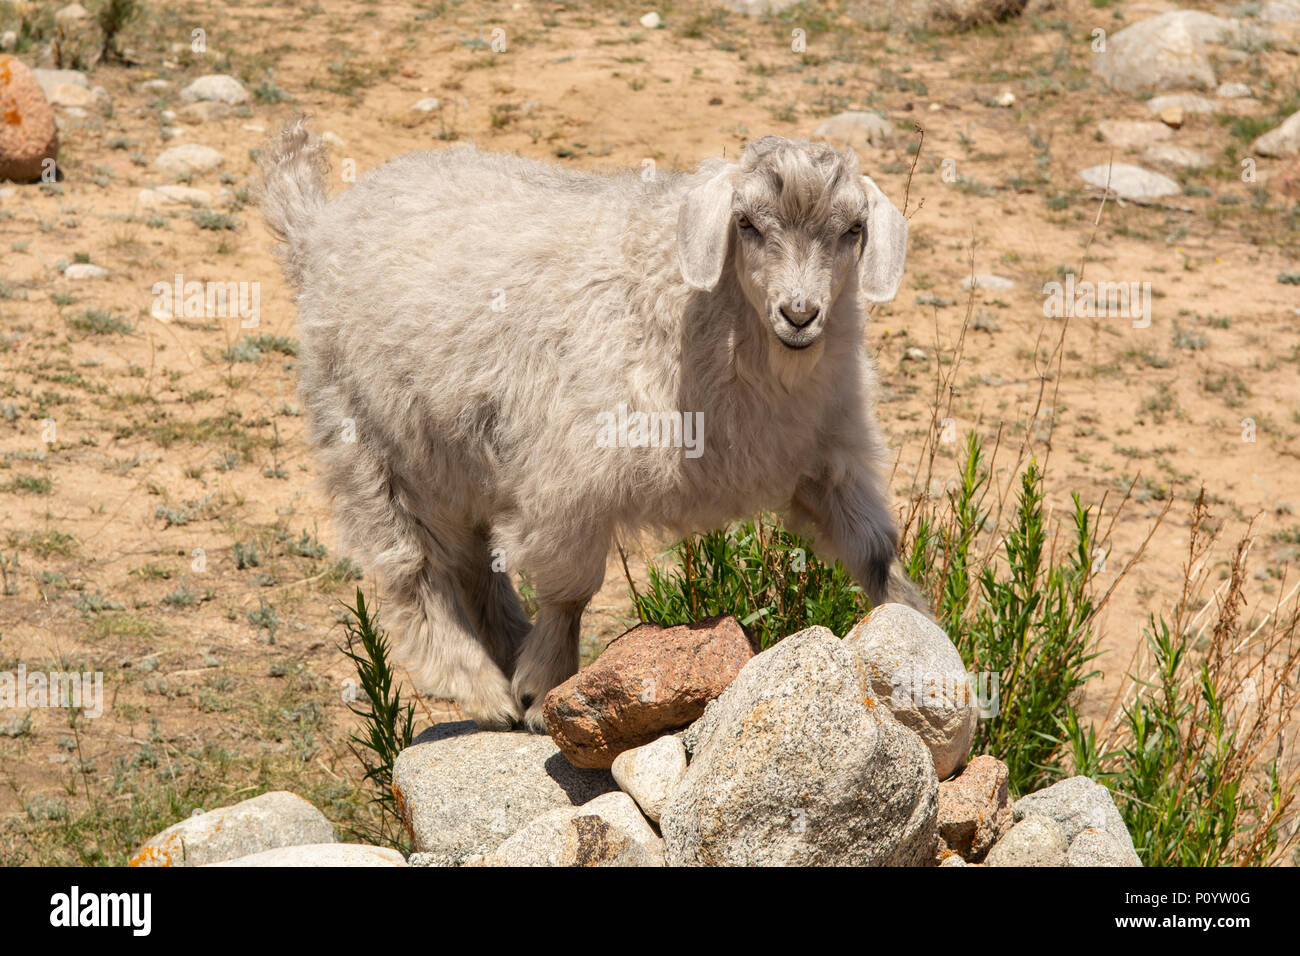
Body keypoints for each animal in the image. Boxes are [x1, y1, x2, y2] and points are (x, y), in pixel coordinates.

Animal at [258, 119, 920, 733]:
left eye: (853, 229)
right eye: (747, 225)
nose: (800, 315)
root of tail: (317, 227)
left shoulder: (828, 455)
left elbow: (876, 551)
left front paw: (920, 633)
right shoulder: (570, 476)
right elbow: (570, 591)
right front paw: (542, 684)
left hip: (461, 448)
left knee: (473, 559)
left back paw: (507, 646)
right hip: (366, 436)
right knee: (410, 568)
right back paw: (481, 687)